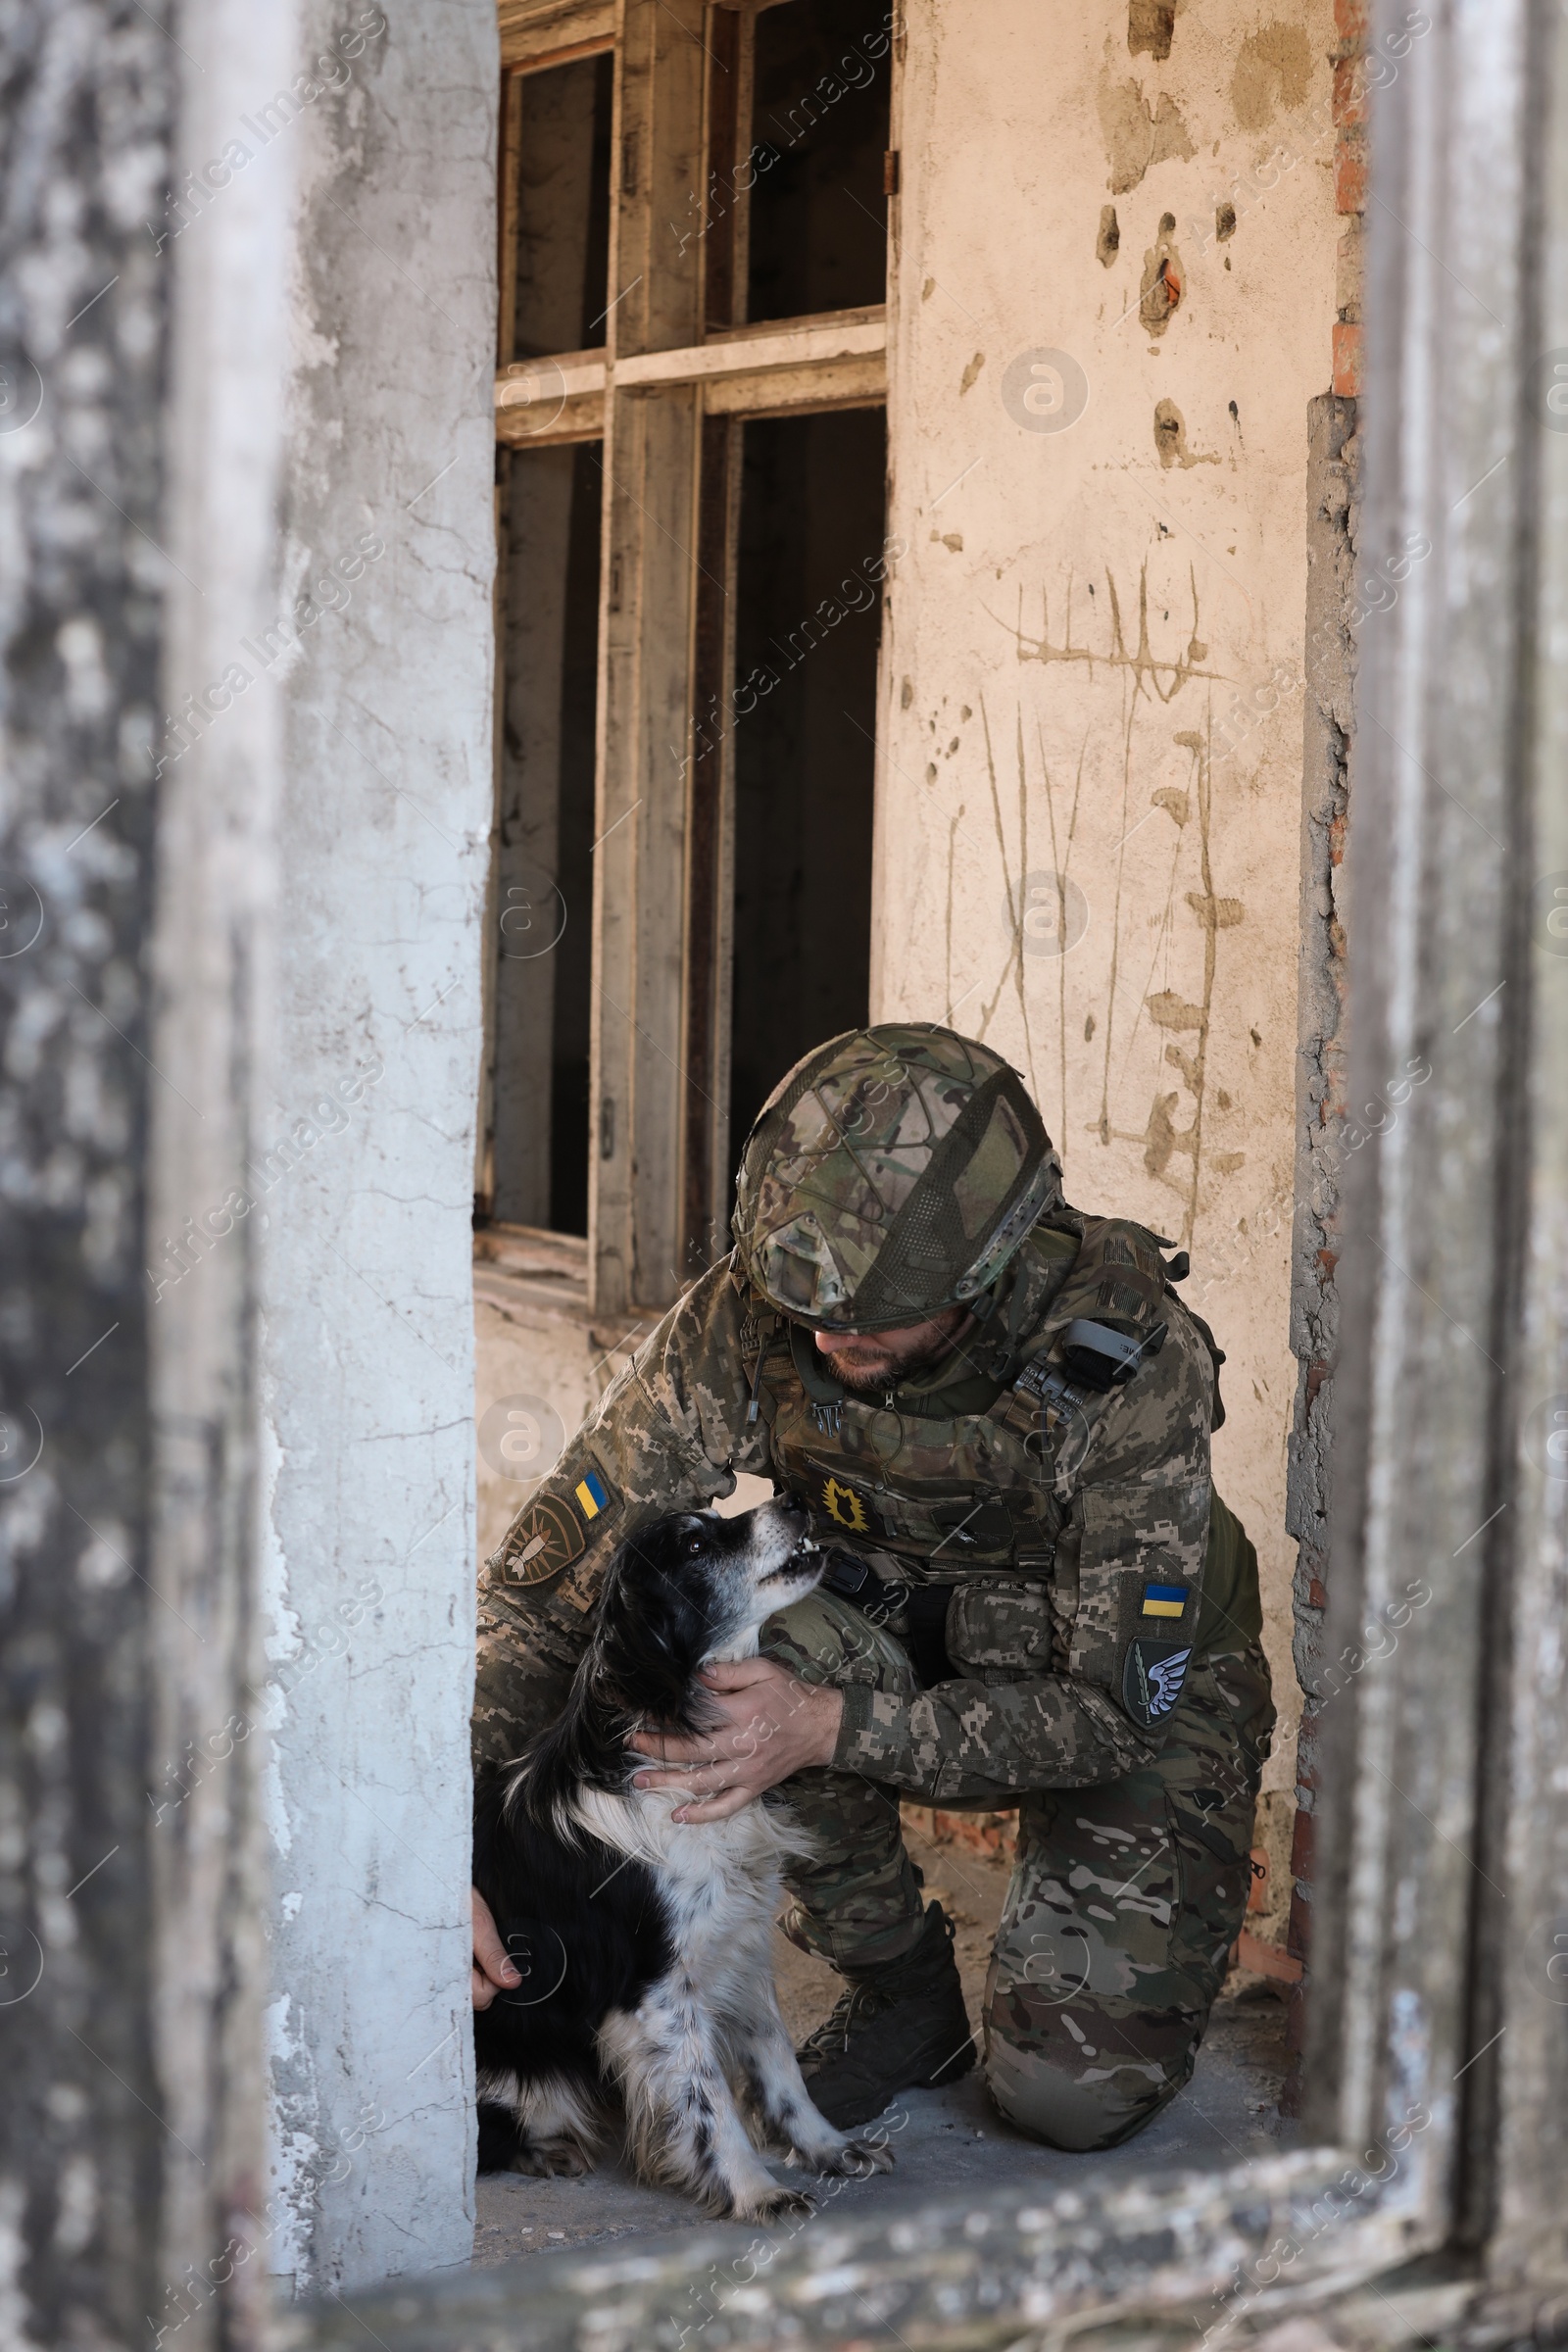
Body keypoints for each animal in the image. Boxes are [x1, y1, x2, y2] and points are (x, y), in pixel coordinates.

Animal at [472, 1495, 893, 2211]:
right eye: (694, 1547)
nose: (793, 1500)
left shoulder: (741, 1942)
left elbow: (778, 2063)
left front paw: (826, 2147)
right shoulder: (656, 1990)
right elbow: (709, 2097)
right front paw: (755, 2189)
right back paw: (545, 2148)